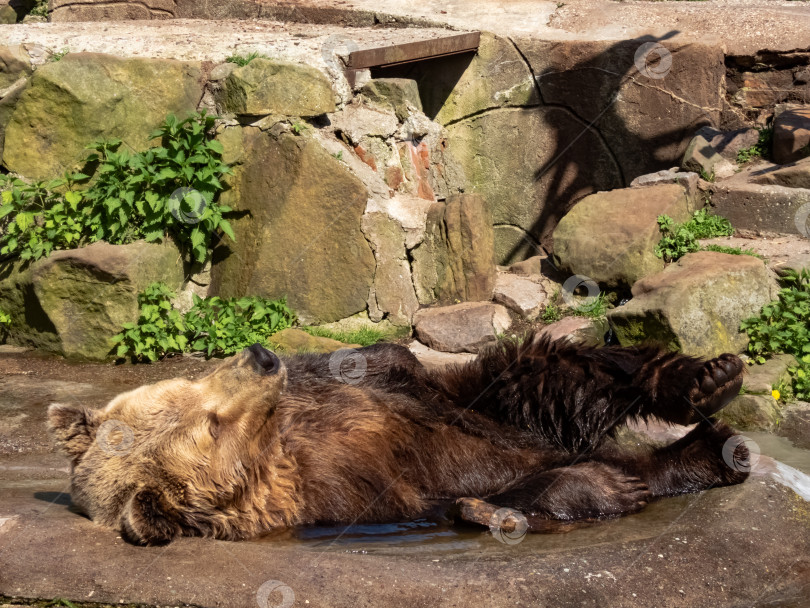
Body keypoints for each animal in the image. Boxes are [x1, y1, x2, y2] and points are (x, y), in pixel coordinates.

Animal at [47, 332, 748, 548]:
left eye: (191, 391)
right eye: (211, 424)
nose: (262, 357)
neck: (275, 448)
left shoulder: (344, 391)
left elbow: (382, 362)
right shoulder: (337, 490)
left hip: (498, 405)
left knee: (552, 367)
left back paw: (707, 382)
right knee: (576, 476)